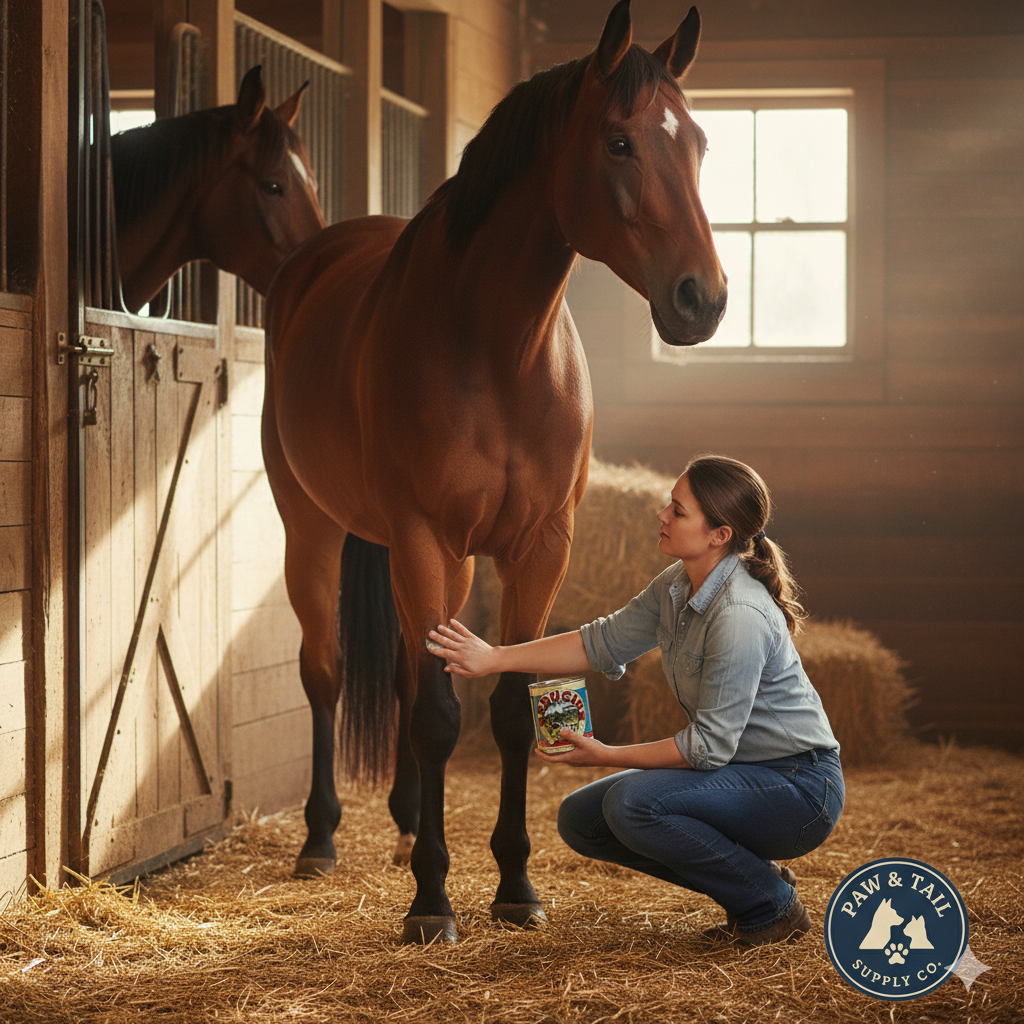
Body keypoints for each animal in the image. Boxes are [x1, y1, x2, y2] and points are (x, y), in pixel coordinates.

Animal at [262, 0, 726, 945]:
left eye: (697, 142)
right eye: (619, 142)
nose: (704, 298)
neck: (496, 348)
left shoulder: (537, 546)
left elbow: (508, 710)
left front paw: (514, 885)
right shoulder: (423, 538)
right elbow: (443, 715)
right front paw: (433, 904)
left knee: (407, 674)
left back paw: (407, 828)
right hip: (314, 528)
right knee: (326, 672)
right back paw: (322, 840)